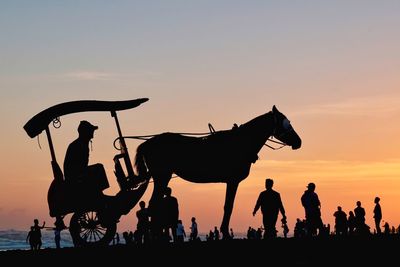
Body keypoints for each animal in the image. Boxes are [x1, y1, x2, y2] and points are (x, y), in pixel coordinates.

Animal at [134, 105, 300, 240]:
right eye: (286, 122)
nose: (299, 142)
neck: (241, 143)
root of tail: (147, 143)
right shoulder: (233, 181)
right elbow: (229, 206)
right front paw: (225, 233)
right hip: (162, 176)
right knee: (153, 204)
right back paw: (155, 236)